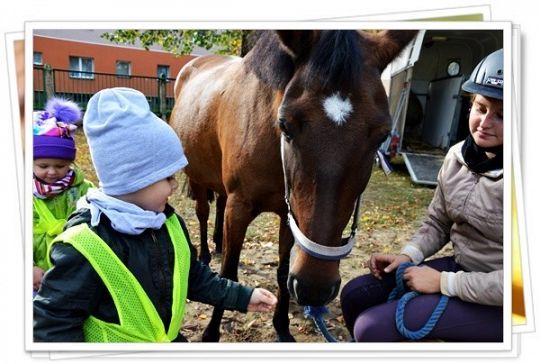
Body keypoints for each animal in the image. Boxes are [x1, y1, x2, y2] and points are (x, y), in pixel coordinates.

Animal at [169, 29, 418, 342]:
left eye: (381, 136)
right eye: (285, 125)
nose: (315, 288)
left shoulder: (291, 216)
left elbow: (282, 271)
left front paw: (282, 326)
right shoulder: (240, 208)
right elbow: (227, 273)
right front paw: (211, 332)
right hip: (198, 179)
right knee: (203, 213)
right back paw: (203, 252)